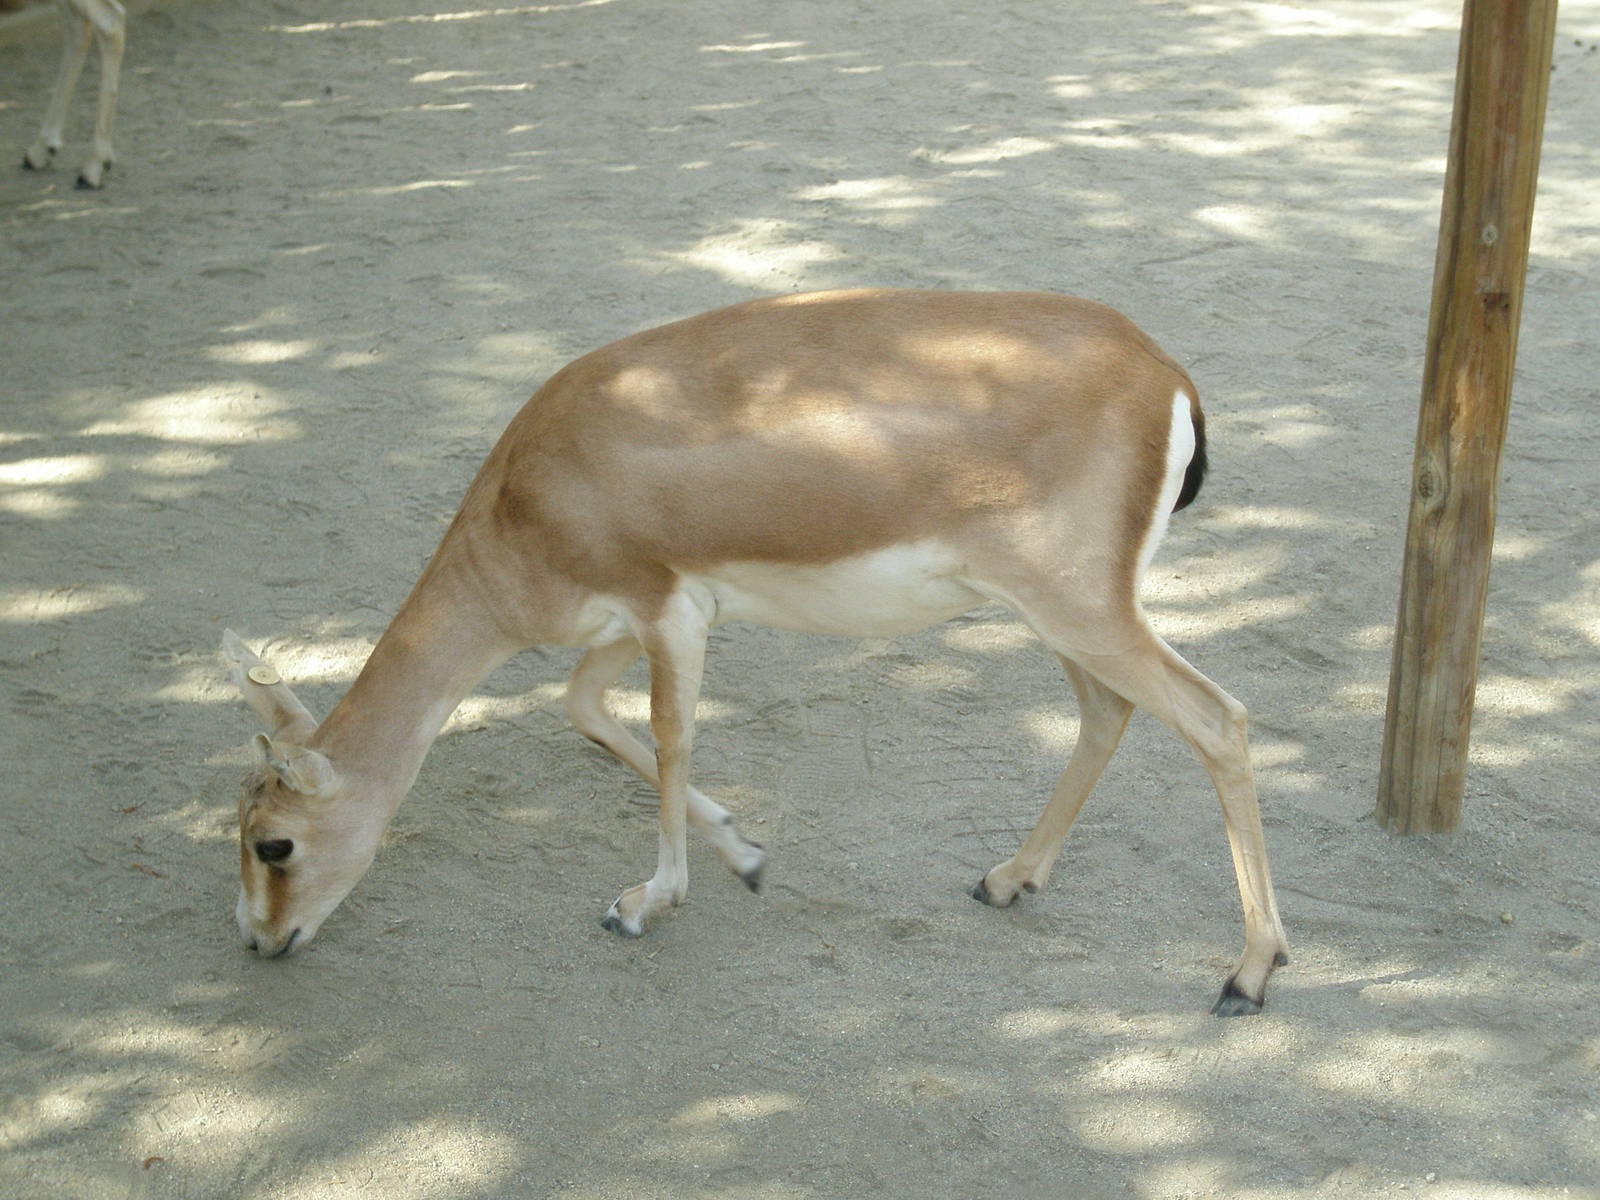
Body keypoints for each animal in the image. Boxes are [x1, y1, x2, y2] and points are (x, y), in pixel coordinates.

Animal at [223, 288, 1290, 1015]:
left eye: (273, 842)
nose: (260, 940)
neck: (532, 492)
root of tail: (1166, 373)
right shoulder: (618, 630)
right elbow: (587, 714)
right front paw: (747, 857)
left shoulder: (669, 612)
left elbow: (670, 735)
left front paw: (647, 902)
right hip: (1054, 613)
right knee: (1110, 709)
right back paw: (1007, 879)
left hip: (1078, 608)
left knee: (1217, 718)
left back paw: (1247, 973)